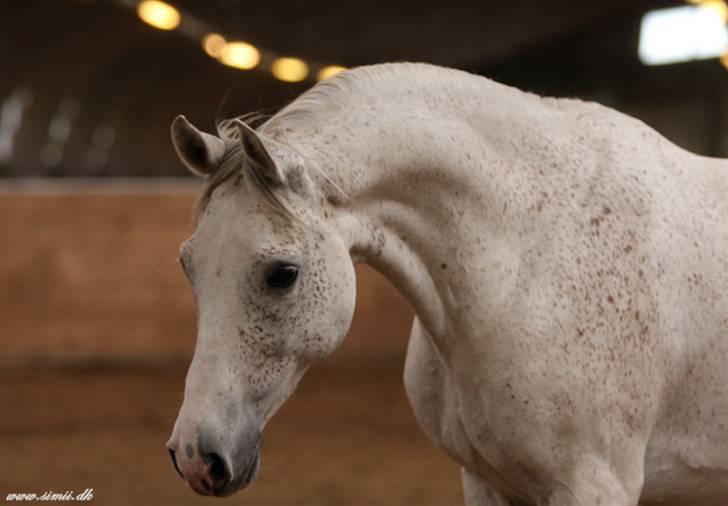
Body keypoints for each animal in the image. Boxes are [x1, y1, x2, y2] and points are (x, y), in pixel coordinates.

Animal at [166, 63, 728, 506]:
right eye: (188, 265)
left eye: (283, 273)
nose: (196, 455)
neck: (527, 261)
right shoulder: (487, 482)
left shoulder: (595, 486)